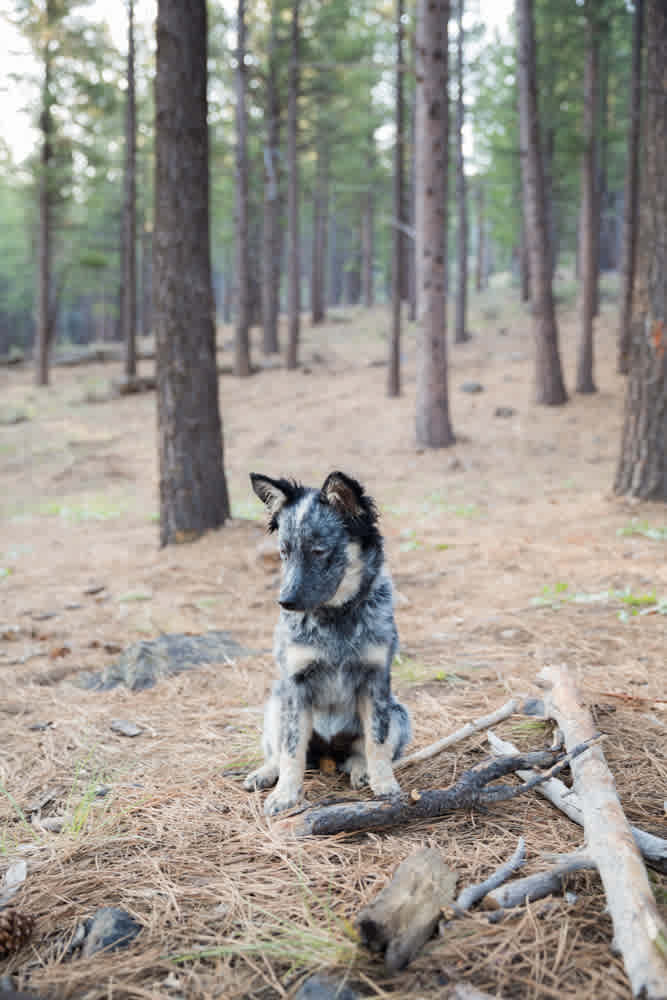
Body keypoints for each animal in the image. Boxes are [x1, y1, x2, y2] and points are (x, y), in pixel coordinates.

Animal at [245, 472, 412, 816]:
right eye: (284, 552)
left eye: (319, 551)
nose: (285, 602)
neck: (336, 618)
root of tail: (328, 755)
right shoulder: (295, 685)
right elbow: (291, 751)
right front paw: (285, 795)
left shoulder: (376, 681)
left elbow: (377, 741)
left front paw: (385, 785)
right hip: (276, 703)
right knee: (278, 752)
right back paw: (265, 773)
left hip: (400, 713)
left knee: (363, 750)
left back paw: (362, 770)